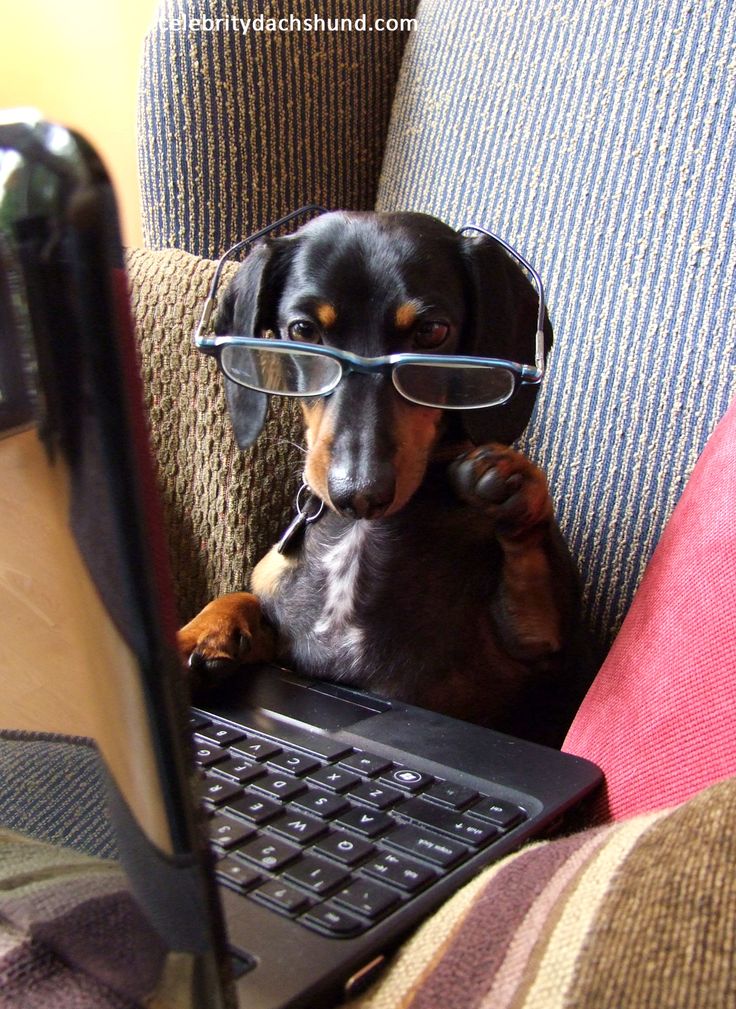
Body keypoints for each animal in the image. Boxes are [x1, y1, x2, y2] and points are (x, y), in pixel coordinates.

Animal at [179, 210, 597, 750]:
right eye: (302, 329)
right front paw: (197, 636)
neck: (360, 536)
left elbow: (535, 591)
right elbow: (242, 595)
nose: (359, 494)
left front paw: (510, 483)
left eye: (433, 331)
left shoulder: (540, 655)